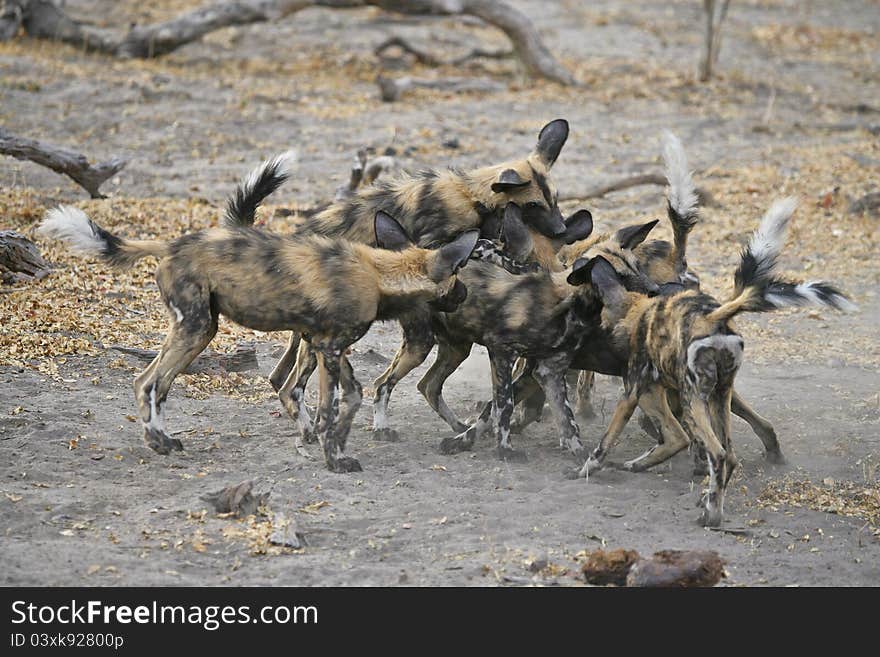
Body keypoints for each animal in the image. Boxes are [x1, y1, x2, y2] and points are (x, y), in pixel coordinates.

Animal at [39, 205, 482, 472]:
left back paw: (164, 440)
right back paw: (158, 444)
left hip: (198, 330)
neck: (380, 274)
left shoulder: (325, 345)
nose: (464, 294)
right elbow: (338, 405)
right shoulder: (331, 347)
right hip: (196, 327)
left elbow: (342, 400)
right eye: (458, 275)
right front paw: (336, 460)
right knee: (148, 382)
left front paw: (331, 448)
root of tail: (174, 242)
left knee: (150, 382)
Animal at [223, 121, 576, 444]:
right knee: (293, 384)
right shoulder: (431, 246)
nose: (561, 229)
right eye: (534, 205)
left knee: (280, 378)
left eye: (556, 199)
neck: (472, 198)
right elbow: (477, 247)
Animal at [576, 197, 856, 524]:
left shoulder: (634, 391)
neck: (636, 310)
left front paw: (588, 467)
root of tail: (714, 317)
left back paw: (711, 513)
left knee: (717, 452)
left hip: (693, 399)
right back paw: (714, 494)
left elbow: (608, 441)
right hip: (717, 396)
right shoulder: (653, 390)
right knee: (730, 452)